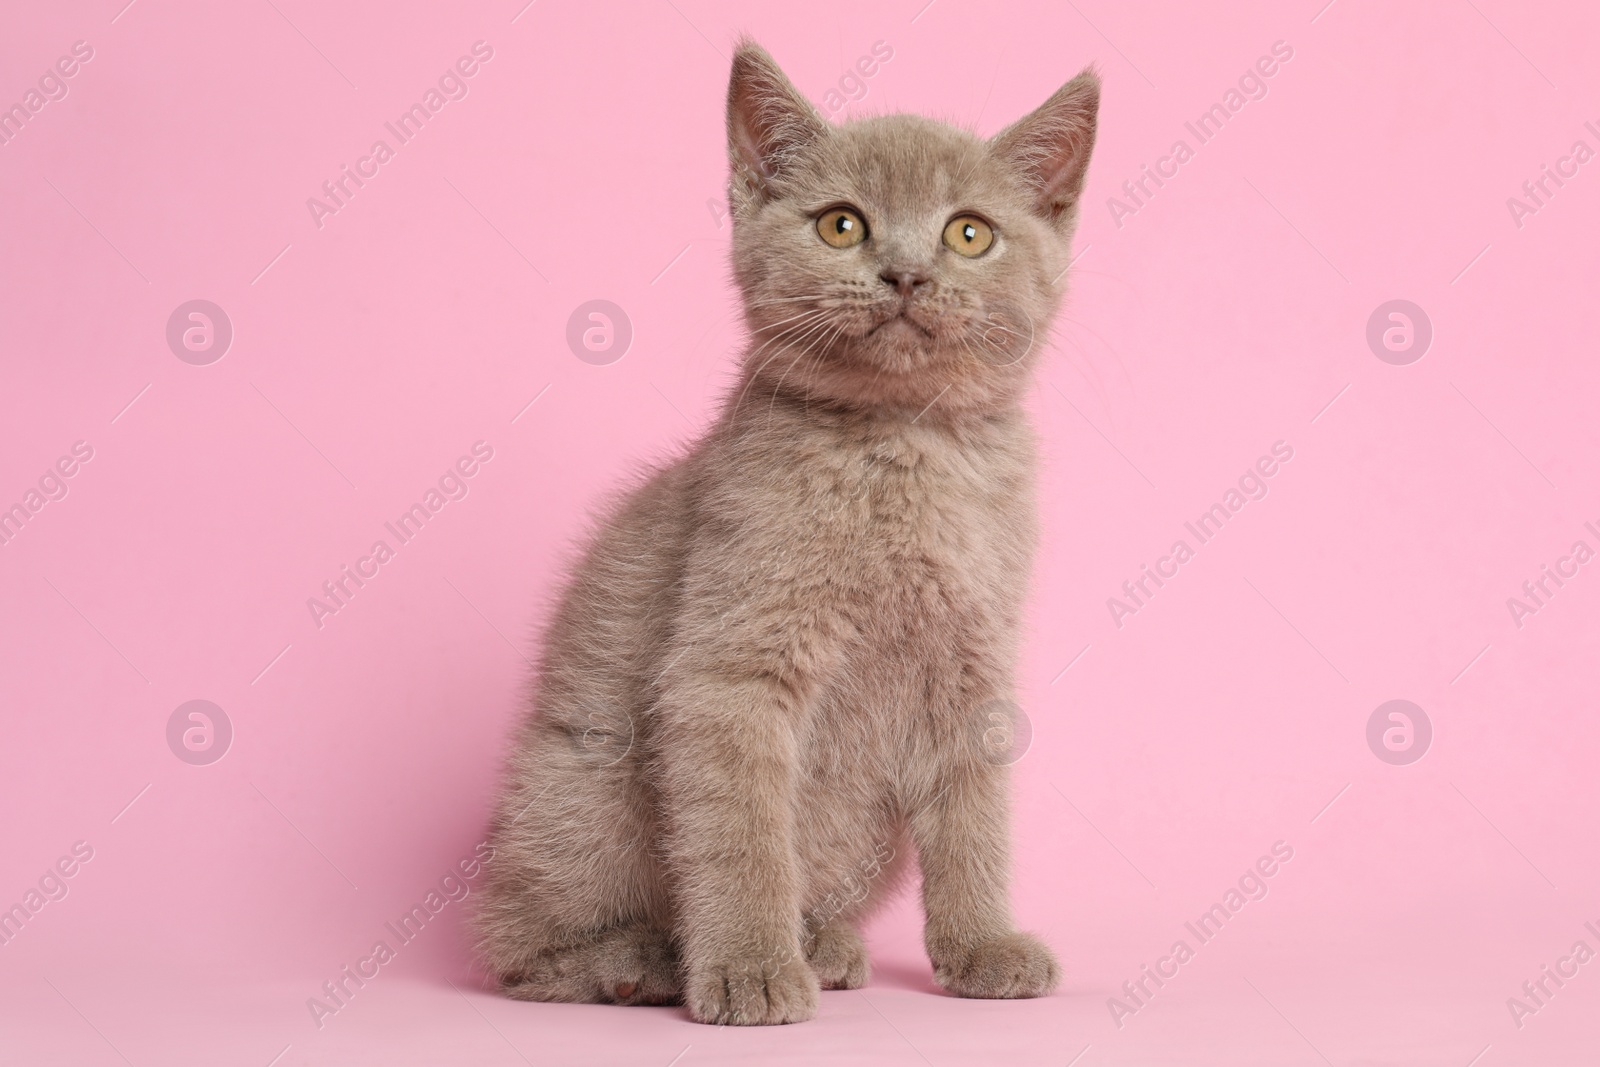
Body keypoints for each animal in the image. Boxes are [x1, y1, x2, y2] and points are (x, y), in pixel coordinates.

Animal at [473, 39, 1100, 1023]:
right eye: (842, 225)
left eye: (969, 233)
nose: (906, 274)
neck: (898, 449)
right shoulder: (729, 670)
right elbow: (744, 836)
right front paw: (748, 968)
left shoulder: (973, 667)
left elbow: (976, 817)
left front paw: (982, 945)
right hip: (579, 788)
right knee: (518, 948)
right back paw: (642, 959)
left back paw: (824, 941)